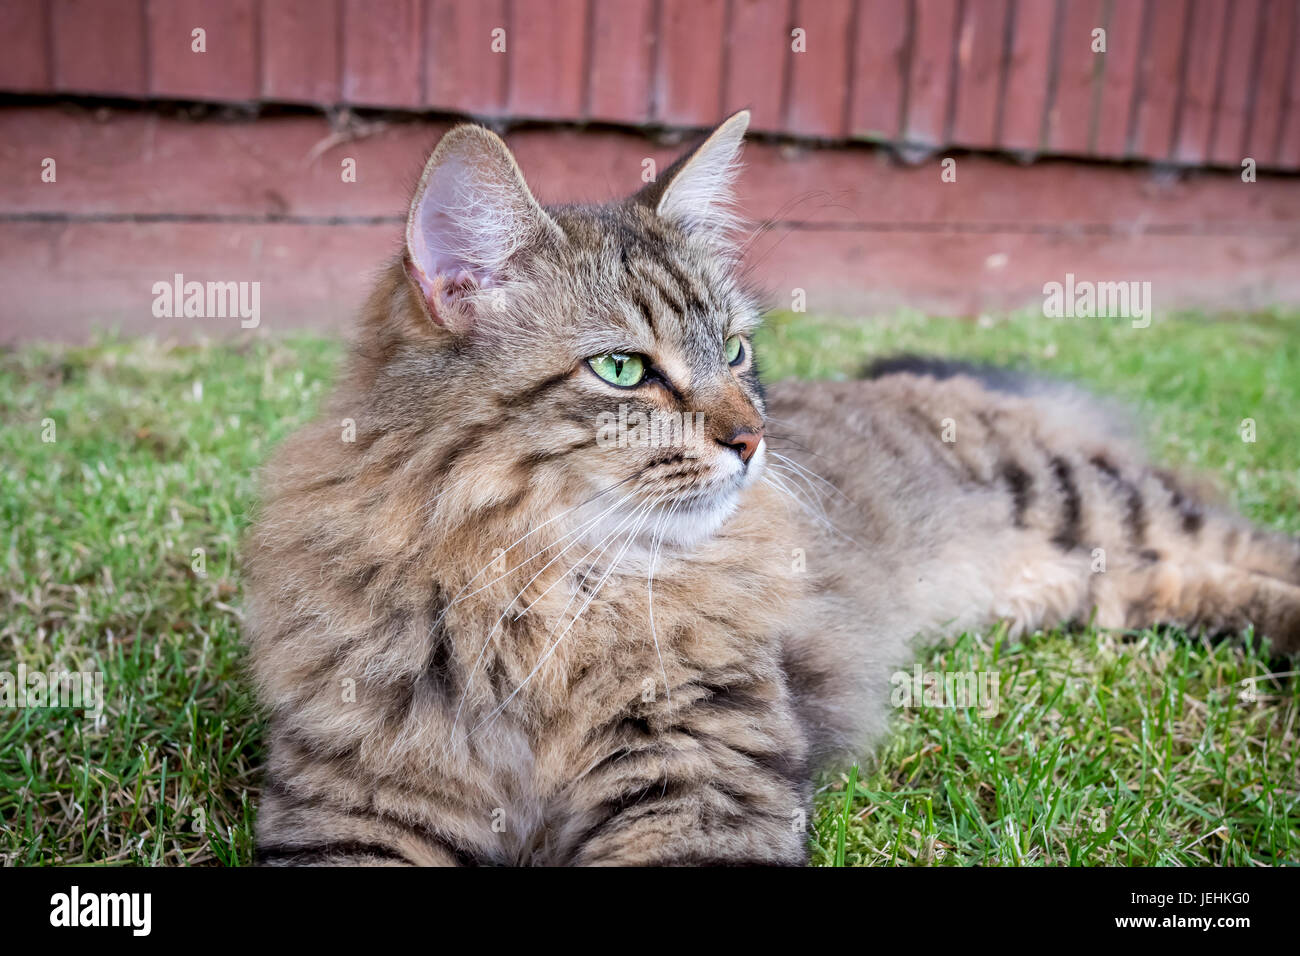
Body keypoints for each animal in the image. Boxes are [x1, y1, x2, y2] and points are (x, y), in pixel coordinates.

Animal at [245, 110, 1300, 868]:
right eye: (624, 370)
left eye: (739, 352)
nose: (753, 439)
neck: (537, 596)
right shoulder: (357, 804)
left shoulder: (703, 776)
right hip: (1066, 581)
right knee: (1176, 584)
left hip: (1082, 497)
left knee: (1254, 547)